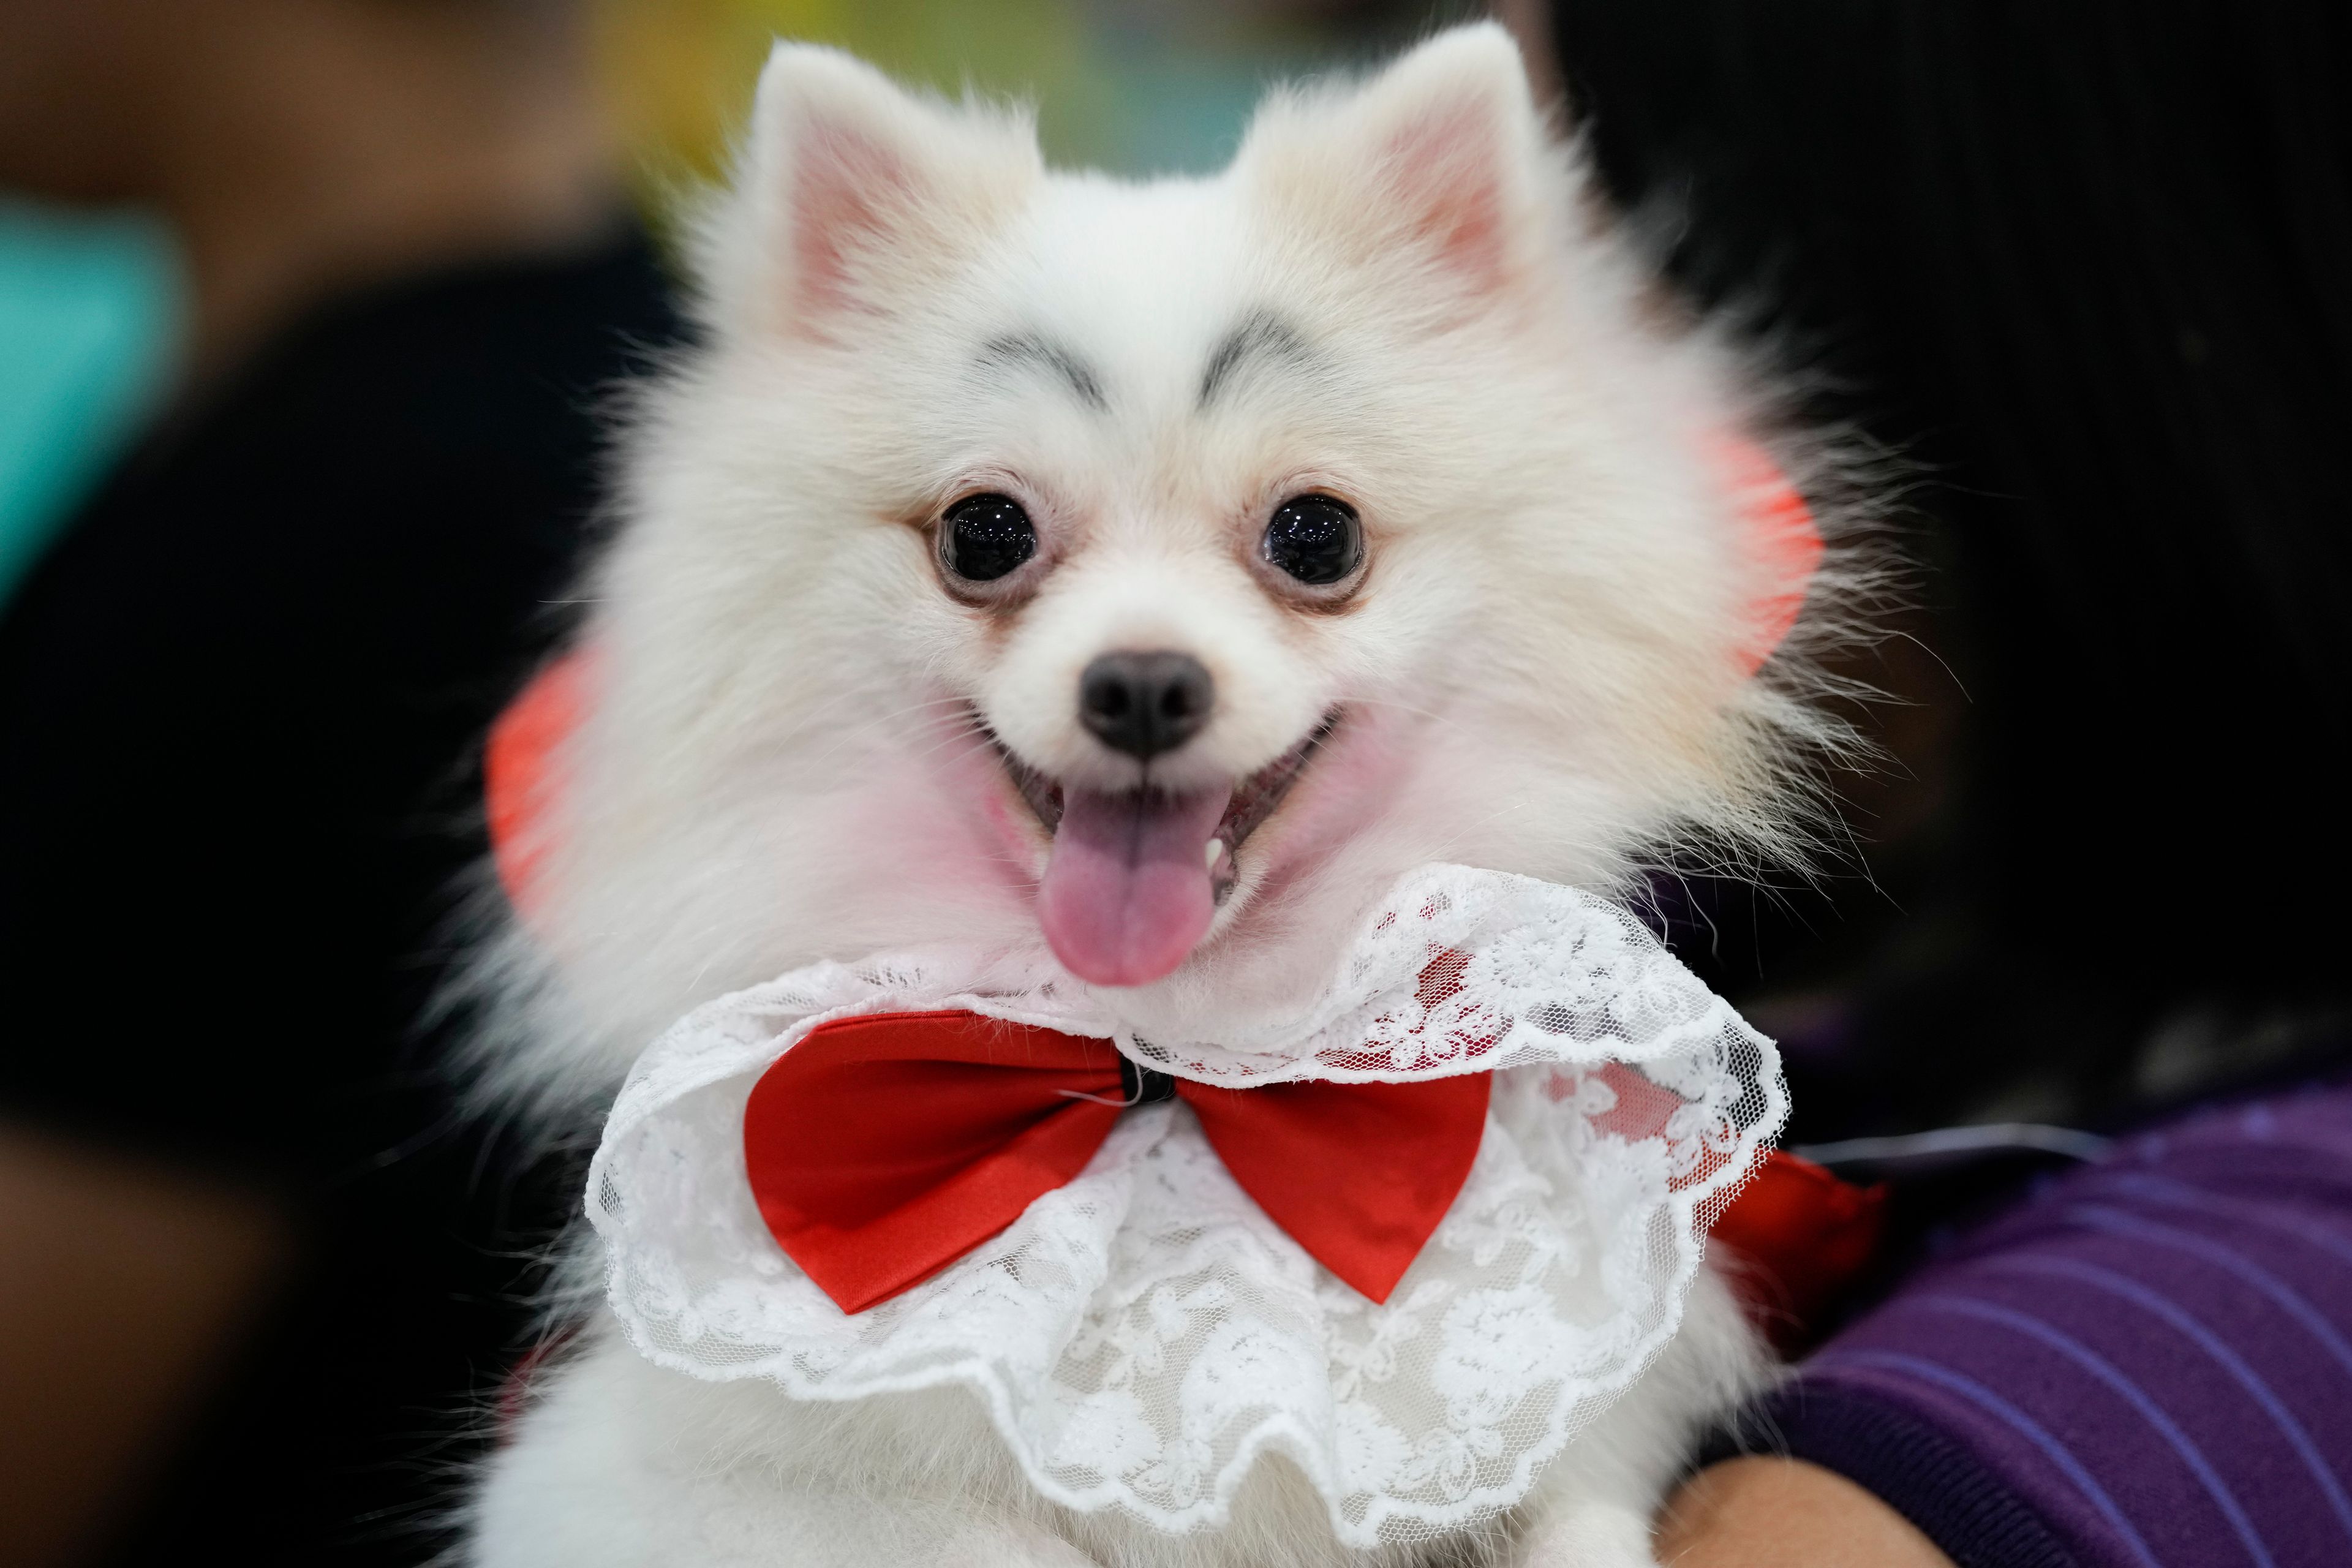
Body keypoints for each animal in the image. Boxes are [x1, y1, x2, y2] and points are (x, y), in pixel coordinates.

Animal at [463, 21, 1853, 1568]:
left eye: (1316, 536)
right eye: (983, 534)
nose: (1138, 683)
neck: (1177, 1061)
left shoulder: (1597, 1399)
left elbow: (1584, 1506)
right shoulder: (626, 1475)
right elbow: (974, 1536)